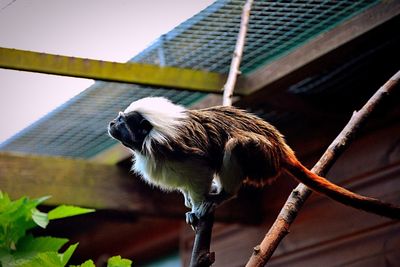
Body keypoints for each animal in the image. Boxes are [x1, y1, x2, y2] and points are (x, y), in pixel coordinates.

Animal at [108, 97, 398, 225]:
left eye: (122, 123)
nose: (111, 124)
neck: (148, 140)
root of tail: (280, 146)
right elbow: (185, 186)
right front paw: (188, 201)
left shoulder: (176, 150)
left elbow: (202, 169)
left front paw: (199, 207)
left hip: (262, 156)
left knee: (236, 145)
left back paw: (223, 195)